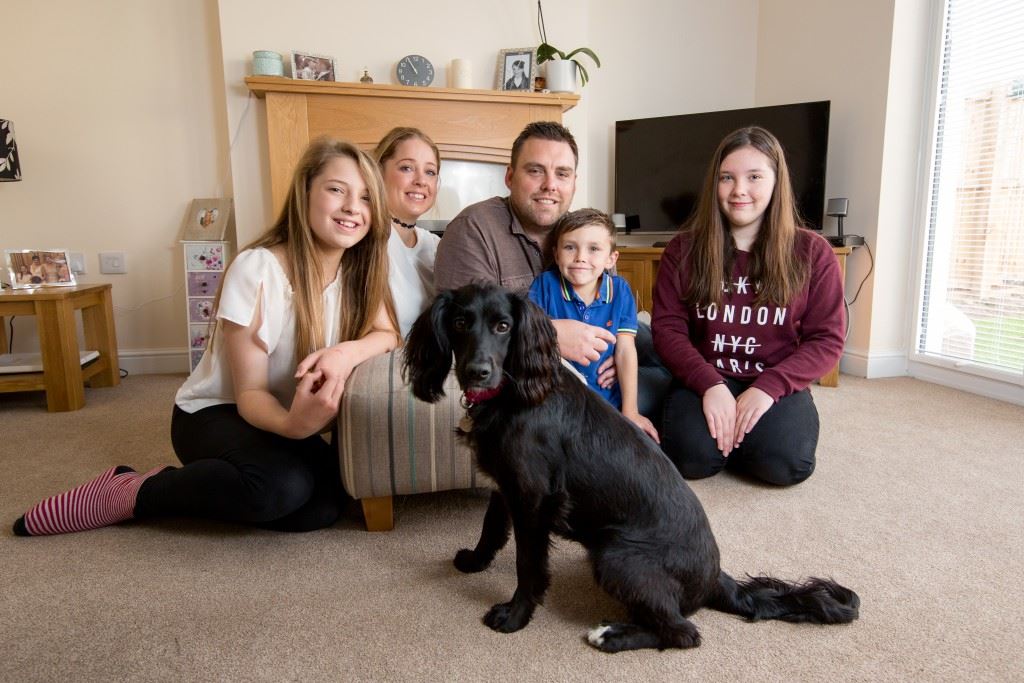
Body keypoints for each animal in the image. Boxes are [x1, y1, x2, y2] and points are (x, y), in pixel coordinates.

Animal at [403, 282, 860, 651]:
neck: (515, 393)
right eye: (460, 322)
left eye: (503, 326)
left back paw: (611, 636)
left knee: (684, 633)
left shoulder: (533, 498)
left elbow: (527, 564)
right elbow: (491, 529)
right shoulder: (506, 484)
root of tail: (715, 578)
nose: (477, 372)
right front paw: (475, 562)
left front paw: (515, 616)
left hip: (616, 556)